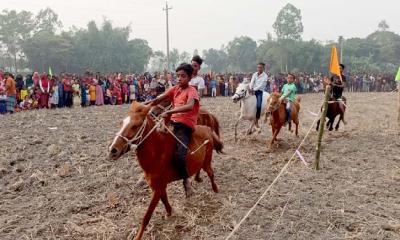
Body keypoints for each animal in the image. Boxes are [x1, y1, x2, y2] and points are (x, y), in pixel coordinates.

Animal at [108, 101, 223, 240]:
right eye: (122, 123)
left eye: (135, 126)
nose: (113, 150)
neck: (158, 152)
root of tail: (207, 129)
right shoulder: (158, 186)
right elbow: (165, 200)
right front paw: (169, 212)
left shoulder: (157, 188)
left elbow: (147, 216)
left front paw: (138, 236)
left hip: (207, 161)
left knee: (211, 173)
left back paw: (215, 189)